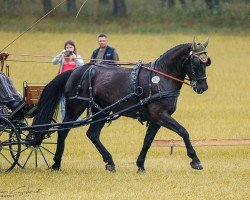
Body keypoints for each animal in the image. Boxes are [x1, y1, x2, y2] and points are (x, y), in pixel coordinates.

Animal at [30, 38, 211, 172]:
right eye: (196, 63)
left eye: (206, 62)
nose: (203, 87)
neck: (160, 78)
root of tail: (75, 71)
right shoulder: (160, 115)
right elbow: (183, 131)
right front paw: (195, 160)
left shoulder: (156, 119)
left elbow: (148, 140)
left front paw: (140, 164)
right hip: (75, 107)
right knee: (63, 130)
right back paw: (56, 163)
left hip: (102, 110)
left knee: (92, 134)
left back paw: (109, 162)